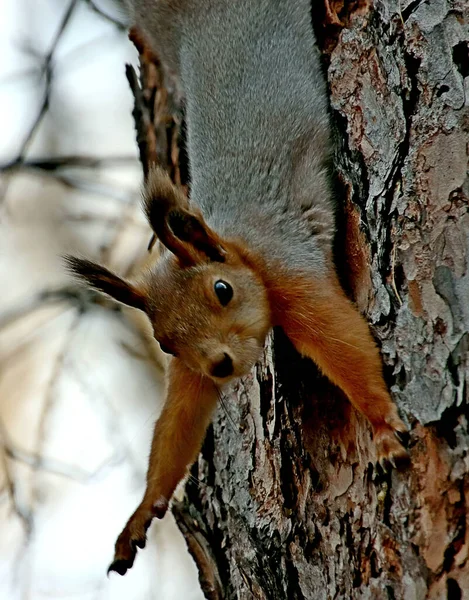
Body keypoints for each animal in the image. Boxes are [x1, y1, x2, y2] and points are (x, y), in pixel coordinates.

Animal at [66, 0, 406, 576]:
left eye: (223, 291)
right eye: (165, 343)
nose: (222, 364)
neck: (239, 246)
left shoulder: (288, 269)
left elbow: (342, 342)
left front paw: (381, 423)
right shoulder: (193, 370)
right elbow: (181, 418)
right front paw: (142, 511)